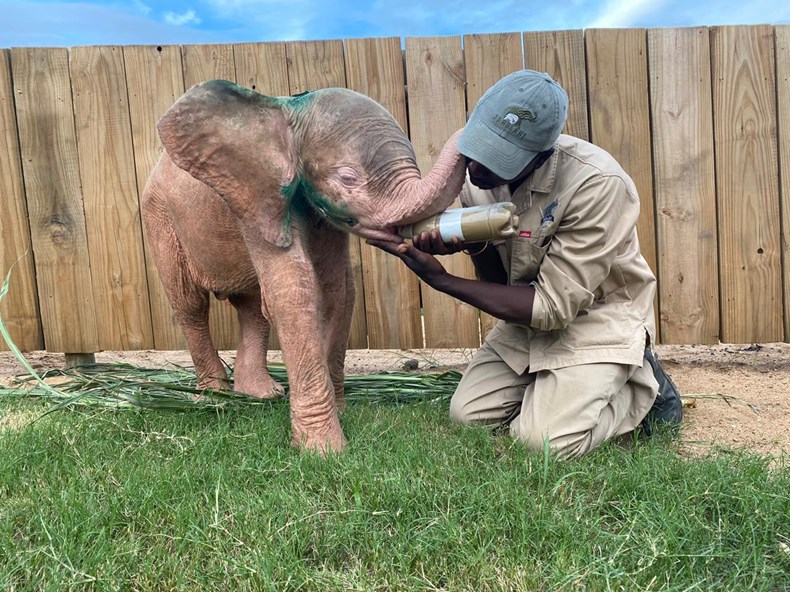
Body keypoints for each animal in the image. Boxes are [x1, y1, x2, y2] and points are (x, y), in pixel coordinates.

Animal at [142, 81, 468, 454]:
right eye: (347, 178)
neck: (288, 114)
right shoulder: (255, 198)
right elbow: (294, 288)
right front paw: (323, 451)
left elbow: (339, 288)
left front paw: (339, 413)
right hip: (159, 218)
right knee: (190, 305)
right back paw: (214, 398)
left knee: (252, 308)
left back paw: (261, 395)